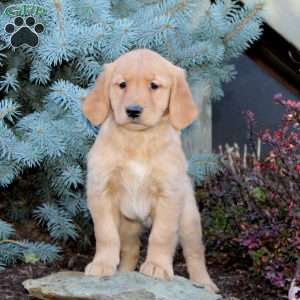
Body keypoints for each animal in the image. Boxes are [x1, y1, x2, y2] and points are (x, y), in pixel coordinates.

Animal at [82, 47, 218, 292]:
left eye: (154, 86)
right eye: (122, 84)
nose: (133, 110)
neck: (138, 140)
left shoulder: (169, 196)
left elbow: (161, 236)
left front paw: (157, 266)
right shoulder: (101, 191)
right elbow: (106, 234)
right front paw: (102, 264)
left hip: (189, 220)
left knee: (195, 254)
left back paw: (204, 284)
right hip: (128, 225)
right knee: (130, 250)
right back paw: (124, 273)